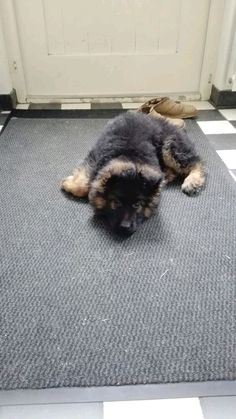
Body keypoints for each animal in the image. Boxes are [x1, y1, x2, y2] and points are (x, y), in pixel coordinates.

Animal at [61, 113, 206, 235]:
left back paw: (192, 181)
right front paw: (70, 184)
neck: (129, 156)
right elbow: (83, 185)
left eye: (138, 205)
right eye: (116, 202)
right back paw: (166, 177)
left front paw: (68, 183)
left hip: (170, 146)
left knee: (196, 162)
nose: (125, 228)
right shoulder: (94, 158)